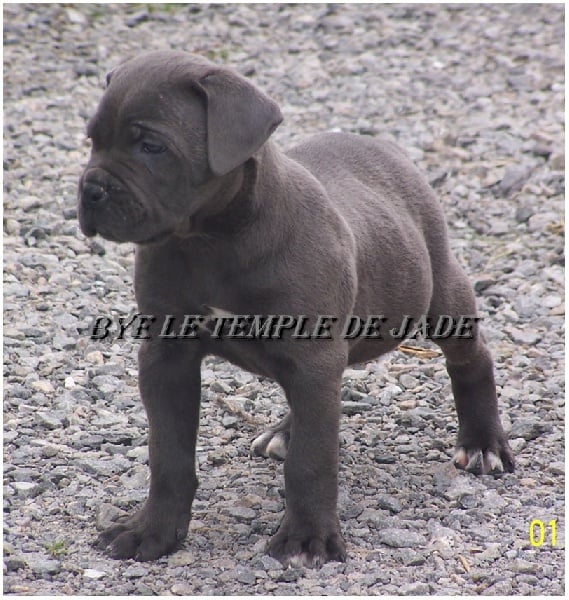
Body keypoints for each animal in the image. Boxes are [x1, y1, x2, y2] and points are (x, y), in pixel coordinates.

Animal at [77, 51, 512, 568]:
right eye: (92, 140)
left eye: (151, 146)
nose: (90, 190)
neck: (212, 237)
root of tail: (380, 146)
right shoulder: (167, 357)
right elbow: (169, 455)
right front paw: (152, 531)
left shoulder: (312, 355)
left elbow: (311, 462)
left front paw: (307, 539)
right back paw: (286, 430)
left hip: (438, 291)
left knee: (470, 359)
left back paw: (483, 443)